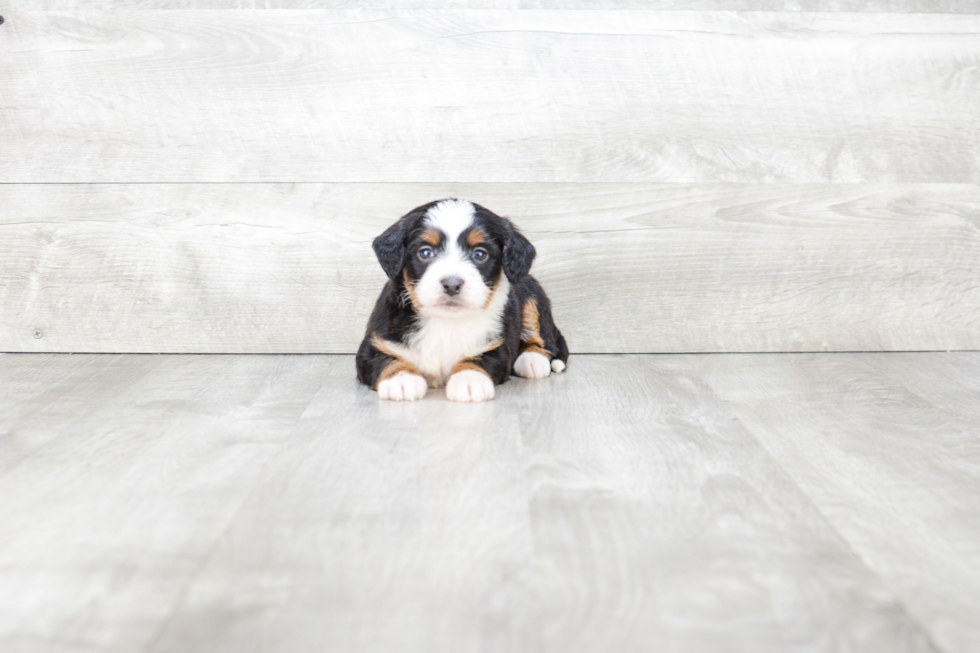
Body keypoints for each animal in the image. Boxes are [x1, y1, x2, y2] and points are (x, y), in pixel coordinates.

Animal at [354, 199, 568, 402]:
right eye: (425, 252)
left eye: (480, 254)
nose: (451, 284)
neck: (446, 321)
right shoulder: (374, 344)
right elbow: (386, 359)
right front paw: (401, 379)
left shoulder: (497, 346)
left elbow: (479, 358)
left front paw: (469, 379)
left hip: (531, 293)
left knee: (544, 340)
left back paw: (532, 360)